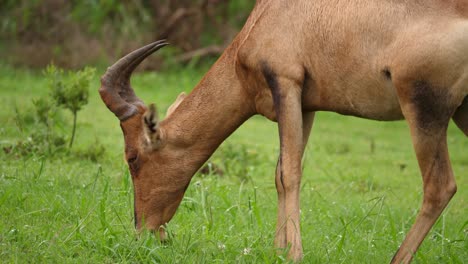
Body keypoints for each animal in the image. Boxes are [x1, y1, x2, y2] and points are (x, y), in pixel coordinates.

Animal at [99, 1, 468, 262]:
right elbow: (280, 174)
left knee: (440, 186)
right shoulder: (306, 105)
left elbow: (290, 173)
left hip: (424, 106)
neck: (268, 15)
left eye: (133, 157)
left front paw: (294, 254)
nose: (145, 233)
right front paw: (277, 250)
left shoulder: (286, 82)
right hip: (462, 112)